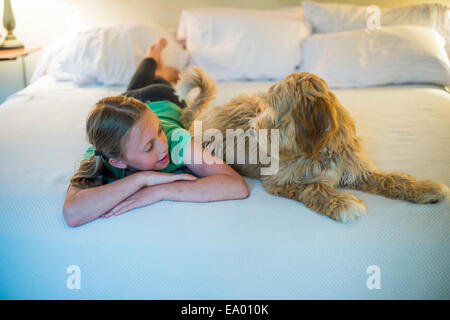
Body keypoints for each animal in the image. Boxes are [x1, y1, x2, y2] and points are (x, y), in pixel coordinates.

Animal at [176, 67, 446, 222]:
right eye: (264, 106)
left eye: (273, 106)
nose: (252, 128)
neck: (318, 150)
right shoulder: (279, 181)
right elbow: (312, 187)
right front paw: (343, 203)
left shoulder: (356, 171)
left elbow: (391, 179)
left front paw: (424, 188)